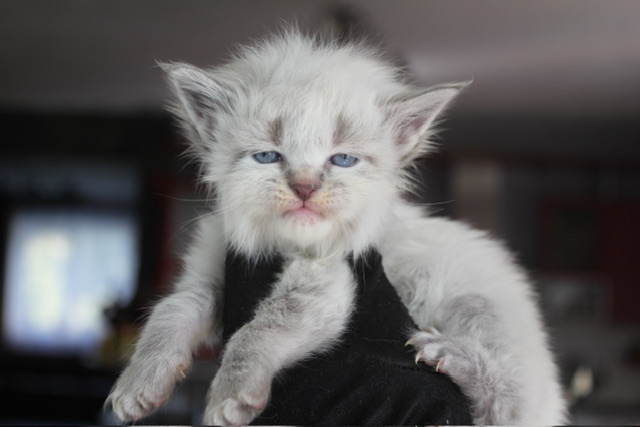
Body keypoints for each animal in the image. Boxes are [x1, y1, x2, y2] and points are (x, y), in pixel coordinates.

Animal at [106, 29, 566, 425]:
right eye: (267, 156)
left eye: (342, 160)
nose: (305, 187)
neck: (281, 246)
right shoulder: (212, 274)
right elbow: (169, 311)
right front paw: (139, 384)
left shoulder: (329, 281)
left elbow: (260, 329)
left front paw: (231, 395)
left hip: (474, 307)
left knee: (510, 401)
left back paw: (448, 354)